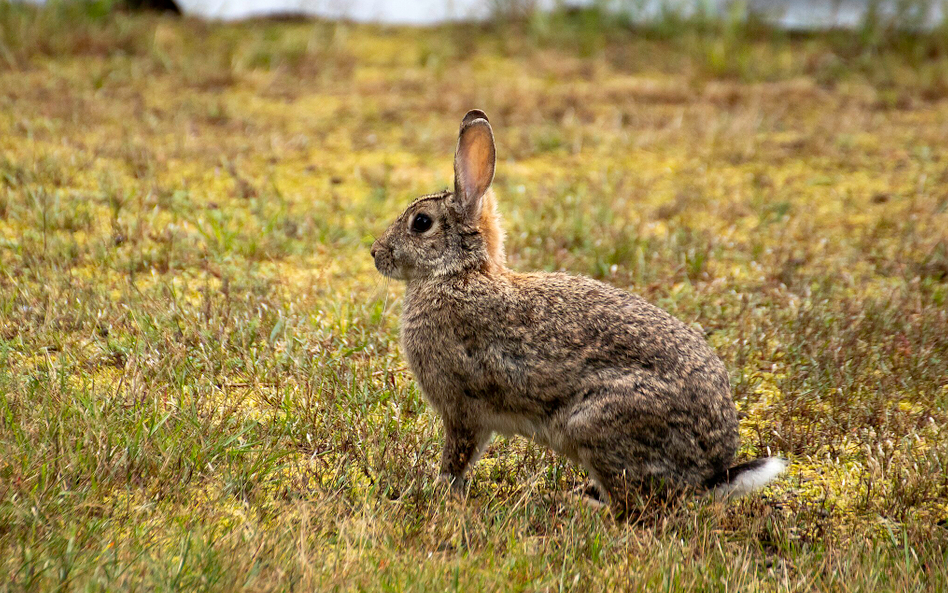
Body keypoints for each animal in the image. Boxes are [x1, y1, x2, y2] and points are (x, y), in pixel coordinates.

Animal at [370, 113, 784, 512]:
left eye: (421, 222)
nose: (376, 253)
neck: (457, 273)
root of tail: (711, 473)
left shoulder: (461, 408)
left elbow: (457, 456)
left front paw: (436, 489)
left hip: (597, 425)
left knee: (636, 507)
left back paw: (575, 503)